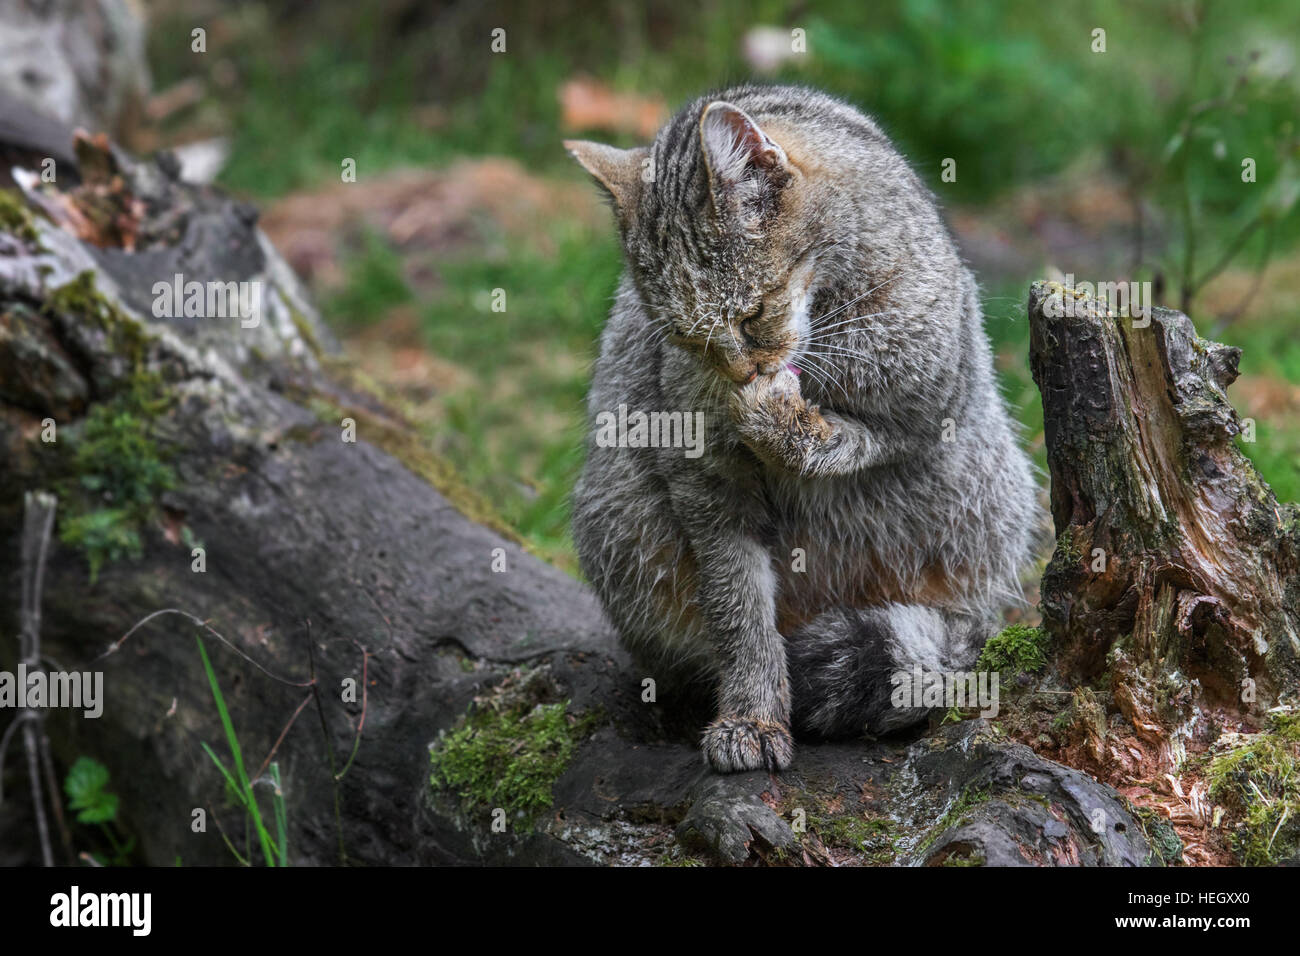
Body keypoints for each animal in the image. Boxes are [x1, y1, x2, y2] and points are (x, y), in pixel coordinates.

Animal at [564, 85, 1040, 775]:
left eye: (752, 313)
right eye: (684, 338)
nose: (740, 372)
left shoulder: (929, 402)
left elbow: (849, 436)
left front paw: (785, 421)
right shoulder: (704, 482)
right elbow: (739, 612)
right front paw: (752, 713)